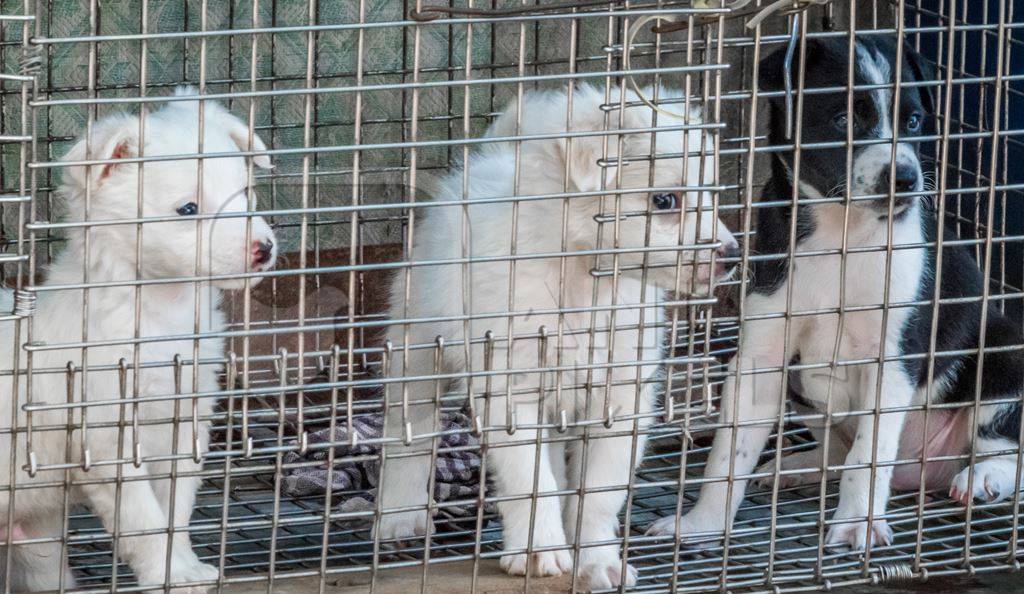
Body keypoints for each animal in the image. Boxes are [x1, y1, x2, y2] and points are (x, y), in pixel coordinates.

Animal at [0, 89, 276, 594]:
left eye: (244, 193)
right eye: (188, 209)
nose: (263, 249)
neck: (159, 313)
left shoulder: (182, 424)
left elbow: (175, 511)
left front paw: (184, 566)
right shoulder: (109, 438)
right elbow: (143, 519)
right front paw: (168, 573)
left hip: (37, 545)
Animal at [376, 83, 737, 589]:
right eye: (665, 200)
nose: (733, 256)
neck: (584, 281)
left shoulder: (617, 398)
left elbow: (599, 493)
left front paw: (597, 559)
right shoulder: (511, 391)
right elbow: (530, 480)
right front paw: (539, 551)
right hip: (418, 345)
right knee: (408, 431)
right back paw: (399, 516)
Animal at [651, 35, 1019, 548]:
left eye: (912, 121)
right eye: (845, 120)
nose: (906, 178)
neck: (842, 233)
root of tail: (925, 474)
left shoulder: (892, 358)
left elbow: (868, 456)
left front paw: (857, 523)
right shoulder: (762, 353)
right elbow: (729, 451)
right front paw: (701, 523)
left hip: (1004, 349)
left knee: (1002, 446)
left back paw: (983, 478)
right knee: (834, 451)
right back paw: (797, 466)